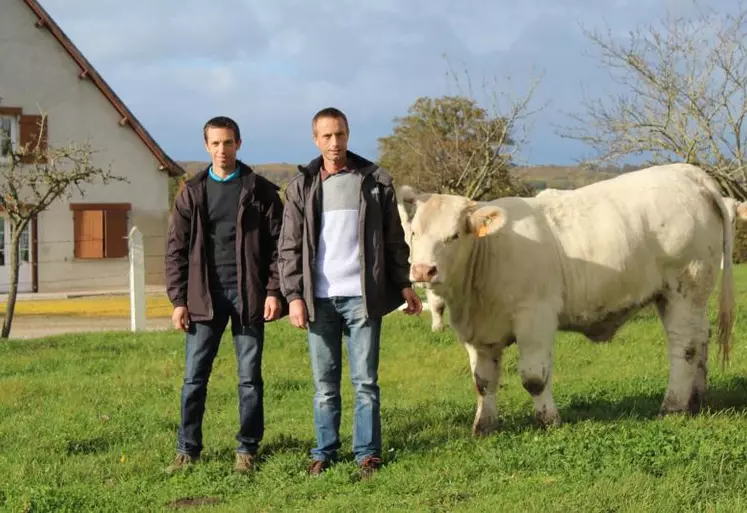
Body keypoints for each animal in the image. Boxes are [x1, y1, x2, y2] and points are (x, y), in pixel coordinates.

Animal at [406, 163, 732, 432]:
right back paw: (697, 399)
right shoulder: (479, 334)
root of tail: (687, 172)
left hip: (683, 286)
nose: (423, 270)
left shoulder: (535, 317)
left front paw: (549, 421)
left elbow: (534, 377)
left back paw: (672, 406)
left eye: (454, 235)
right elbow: (483, 381)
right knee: (701, 337)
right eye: (413, 233)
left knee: (684, 345)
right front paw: (483, 427)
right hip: (684, 295)